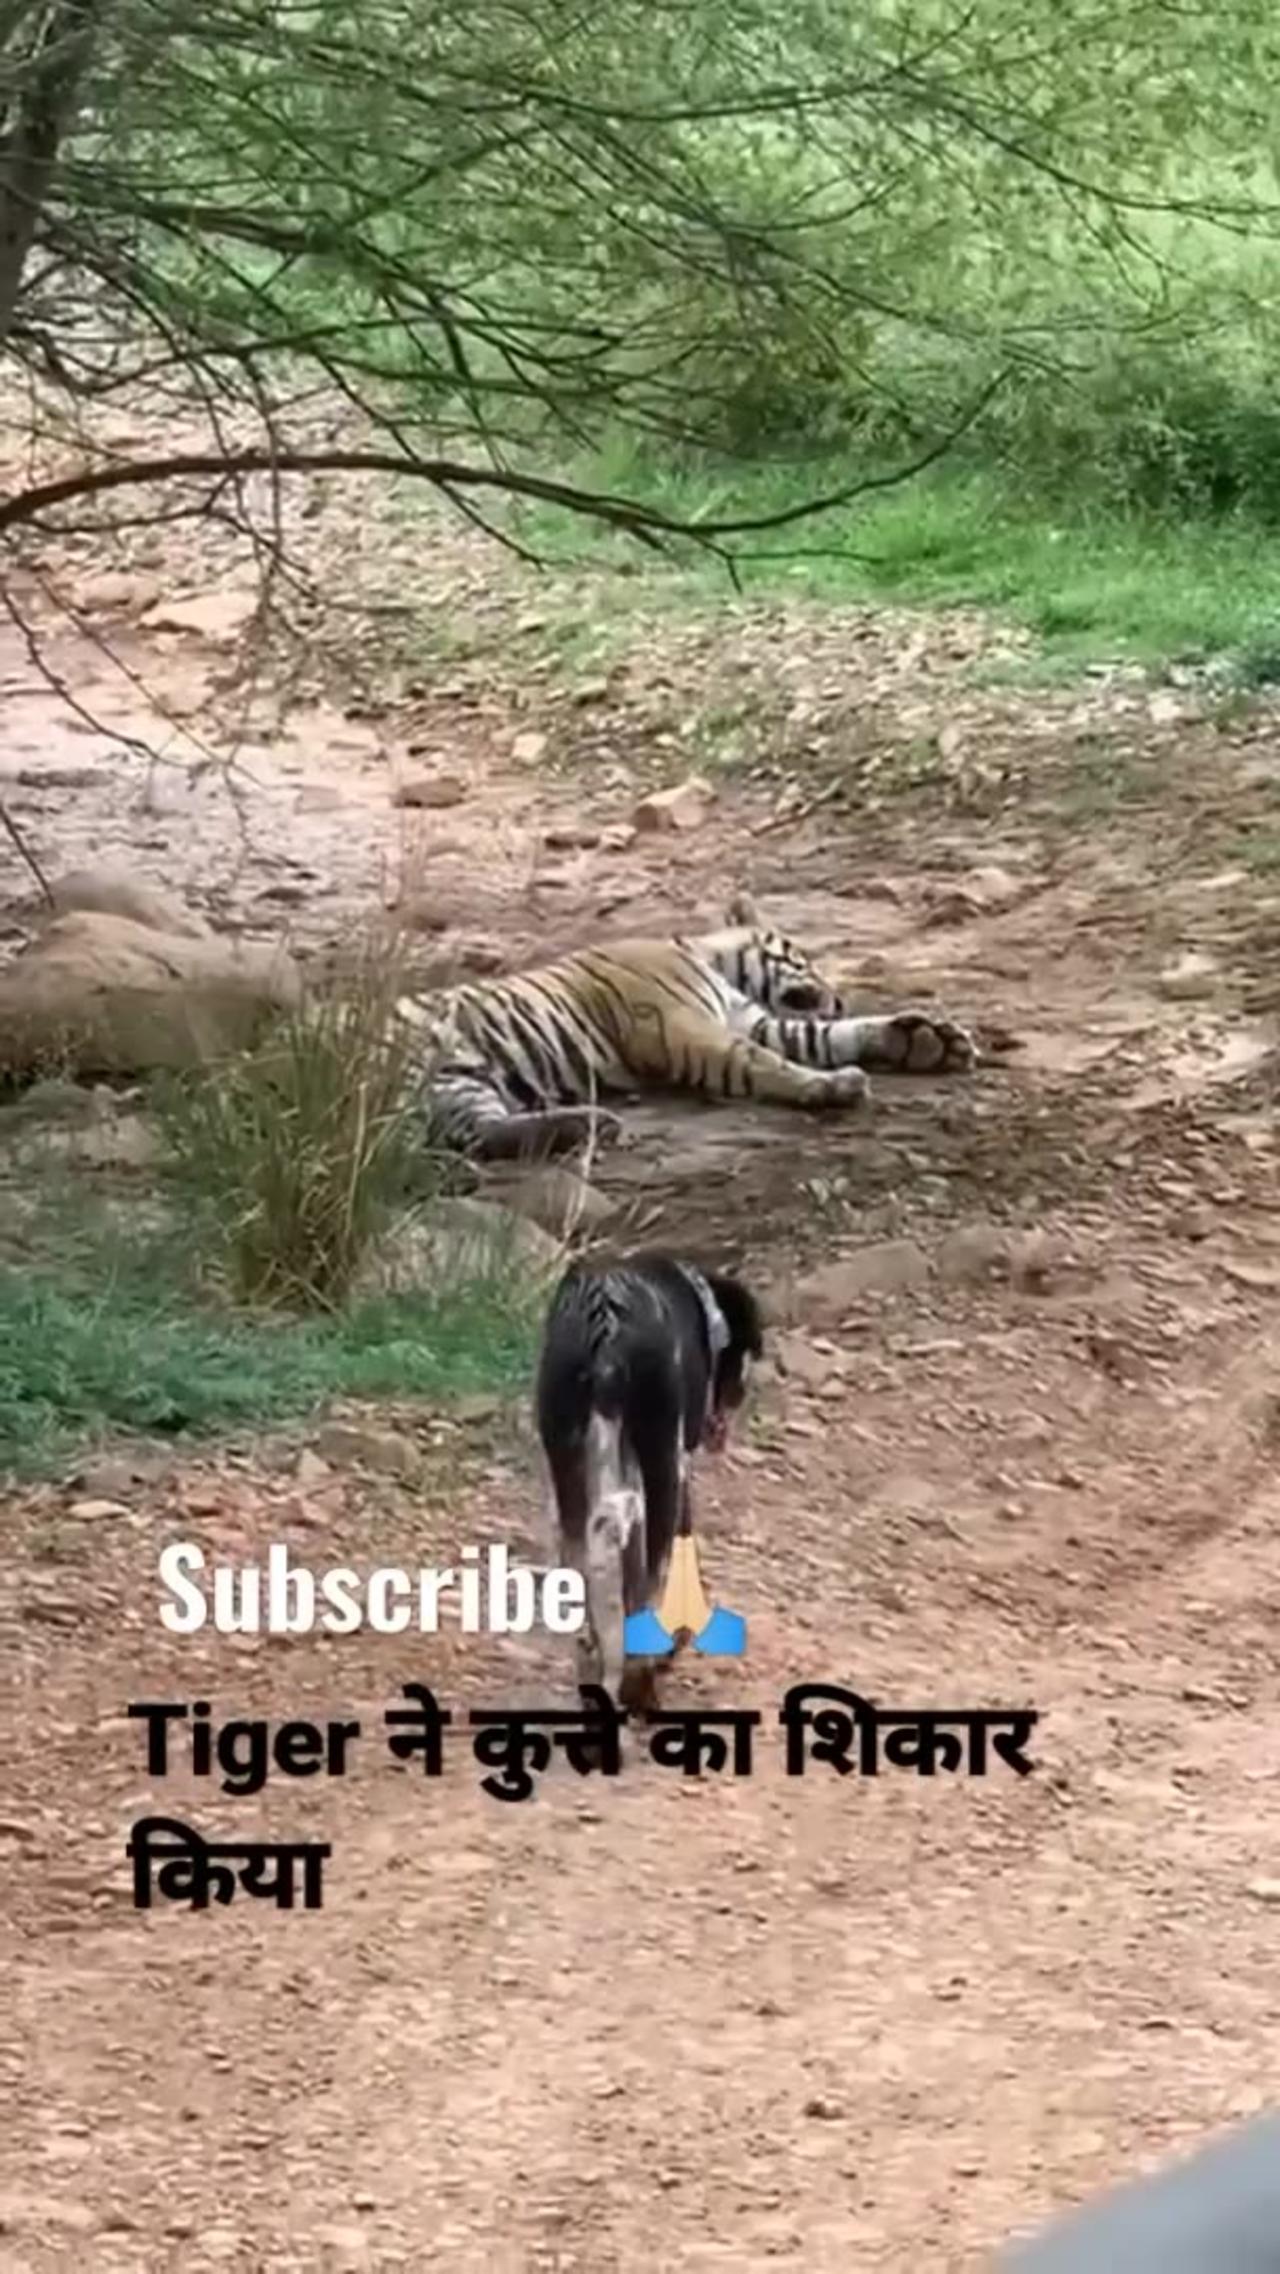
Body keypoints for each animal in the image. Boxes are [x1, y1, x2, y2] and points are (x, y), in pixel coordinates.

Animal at [395, 909, 977, 1164]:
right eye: (805, 959)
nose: (838, 997)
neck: (712, 960)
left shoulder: (753, 1021)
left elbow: (824, 1037)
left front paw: (929, 1040)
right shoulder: (685, 1029)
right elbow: (760, 1061)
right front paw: (832, 1086)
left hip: (461, 1082)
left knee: (480, 1132)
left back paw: (591, 1124)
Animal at [536, 1255, 768, 1710]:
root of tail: (606, 1316)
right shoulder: (678, 1468)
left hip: (567, 1458)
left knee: (582, 1565)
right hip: (661, 1459)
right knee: (652, 1570)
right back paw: (639, 1681)